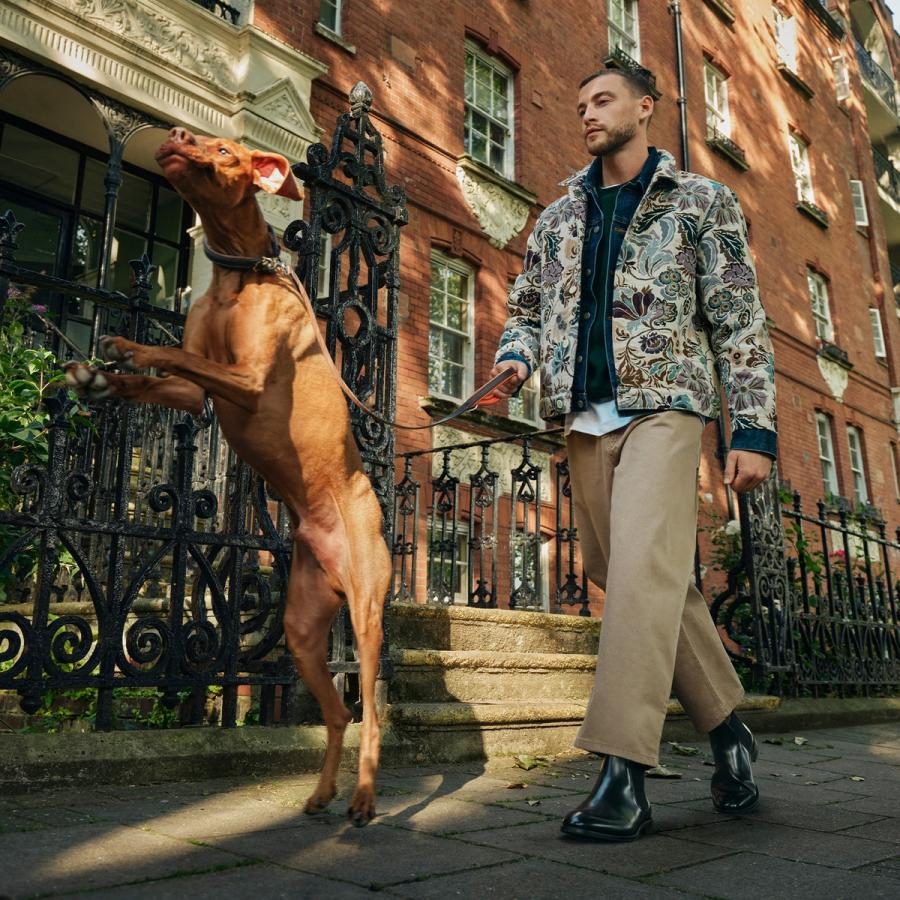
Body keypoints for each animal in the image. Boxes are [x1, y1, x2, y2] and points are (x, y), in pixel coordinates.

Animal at [68, 130, 392, 828]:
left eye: (223, 150)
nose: (178, 136)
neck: (238, 275)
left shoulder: (250, 382)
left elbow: (170, 351)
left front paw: (130, 346)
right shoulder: (196, 395)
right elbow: (167, 375)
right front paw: (98, 379)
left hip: (366, 613)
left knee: (372, 714)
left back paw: (362, 799)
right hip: (302, 631)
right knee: (337, 713)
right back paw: (322, 793)